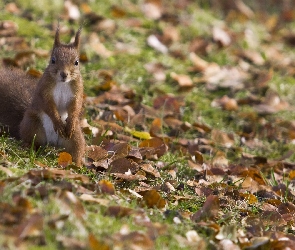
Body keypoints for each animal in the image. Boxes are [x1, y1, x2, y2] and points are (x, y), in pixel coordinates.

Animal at [0, 26, 85, 166]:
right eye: (53, 60)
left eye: (76, 62)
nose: (64, 74)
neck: (62, 84)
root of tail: (52, 142)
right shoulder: (43, 89)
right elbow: (47, 104)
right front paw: (57, 121)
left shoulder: (77, 91)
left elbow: (76, 105)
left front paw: (71, 121)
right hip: (32, 124)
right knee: (33, 141)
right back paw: (28, 147)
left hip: (75, 137)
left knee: (76, 150)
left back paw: (77, 165)